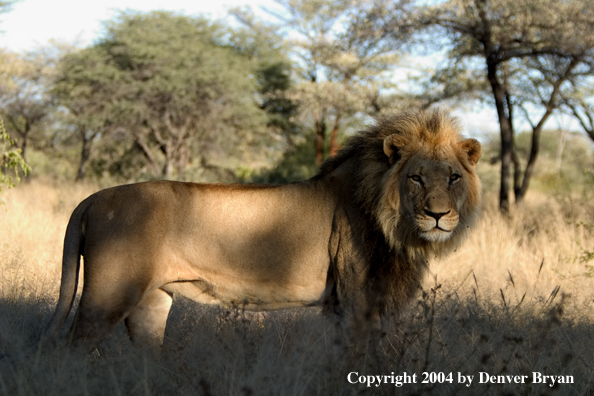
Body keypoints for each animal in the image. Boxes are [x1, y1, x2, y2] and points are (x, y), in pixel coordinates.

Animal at [42, 107, 480, 350]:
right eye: (416, 178)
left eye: (454, 178)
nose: (438, 215)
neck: (394, 226)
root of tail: (92, 199)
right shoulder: (355, 303)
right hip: (106, 296)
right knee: (68, 351)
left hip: (151, 302)